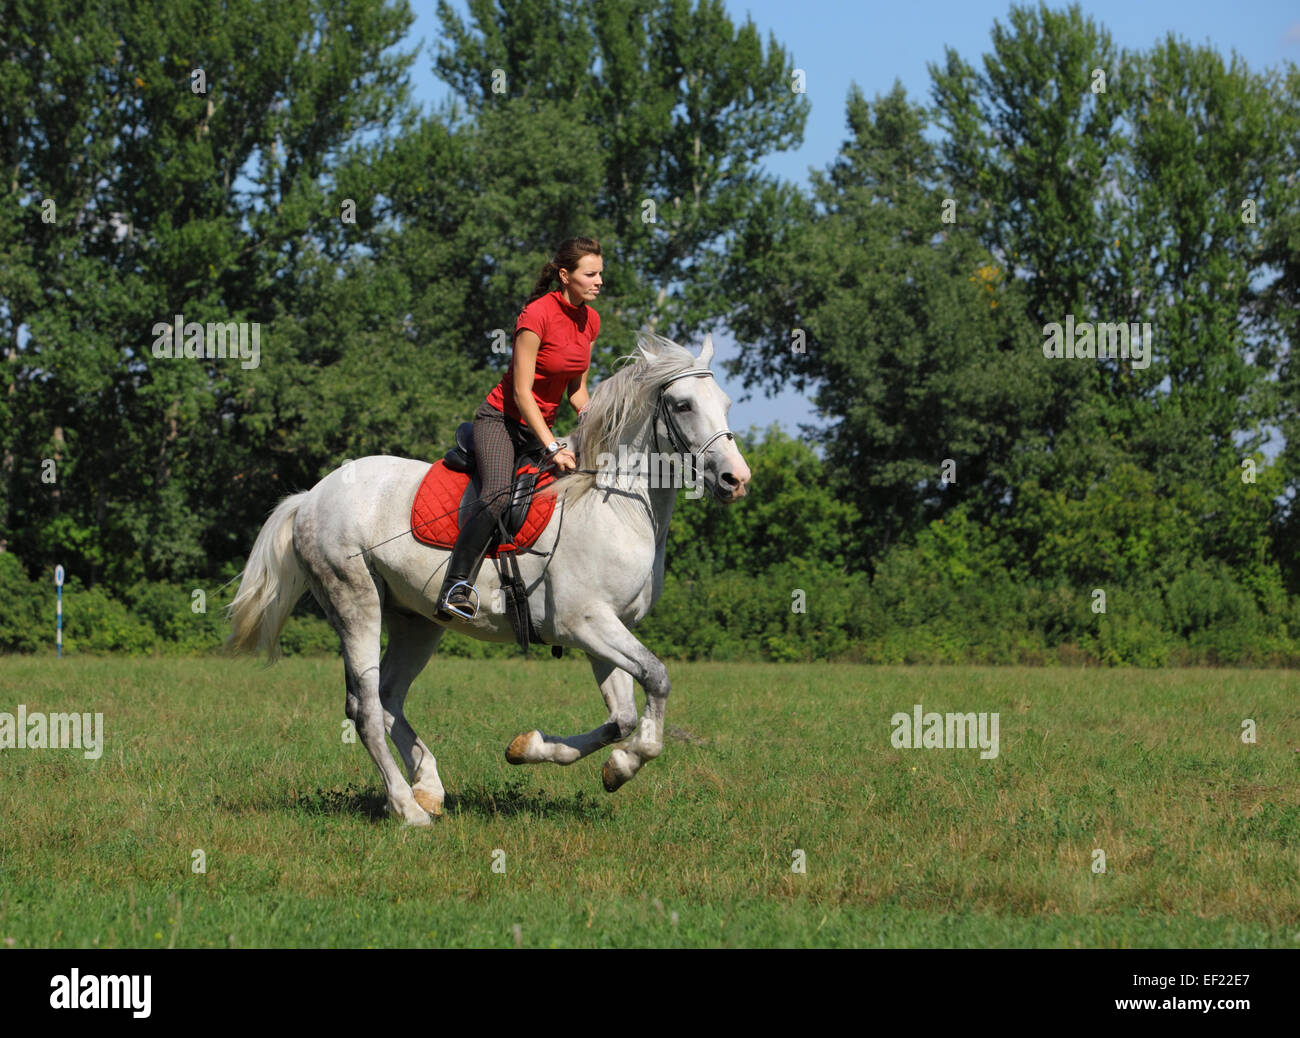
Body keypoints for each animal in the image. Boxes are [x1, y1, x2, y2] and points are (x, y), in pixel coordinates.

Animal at [226, 332, 754, 827]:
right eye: (683, 404)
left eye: (726, 402)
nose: (736, 480)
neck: (614, 504)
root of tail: (311, 497)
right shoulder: (585, 624)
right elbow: (658, 680)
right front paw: (627, 763)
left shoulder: (607, 629)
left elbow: (622, 715)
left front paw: (540, 750)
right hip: (355, 601)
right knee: (367, 709)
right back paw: (408, 809)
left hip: (417, 622)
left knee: (389, 697)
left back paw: (429, 787)